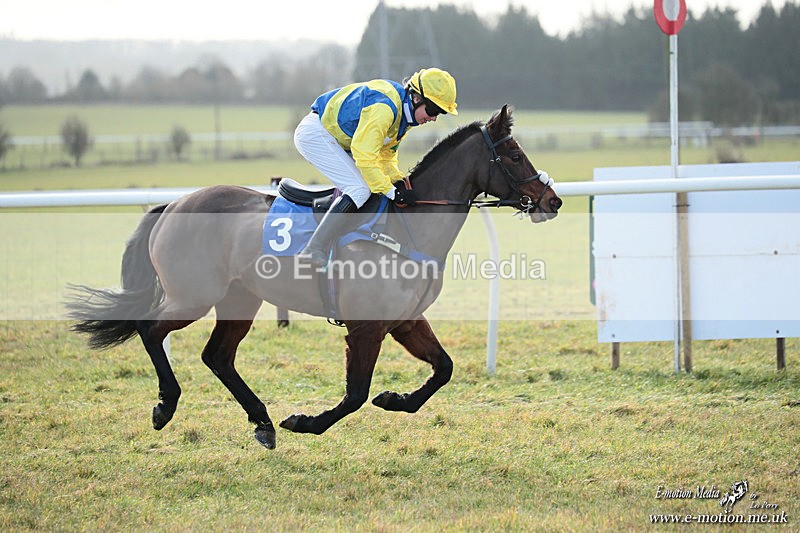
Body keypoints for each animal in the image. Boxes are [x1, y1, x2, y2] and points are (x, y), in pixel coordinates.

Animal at [67, 105, 562, 450]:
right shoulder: (365, 328)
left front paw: (395, 399)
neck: (407, 225)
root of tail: (171, 204)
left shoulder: (405, 321)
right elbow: (355, 394)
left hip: (240, 299)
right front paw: (306, 422)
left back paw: (262, 423)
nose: (552, 200)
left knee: (217, 356)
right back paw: (166, 405)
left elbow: (443, 369)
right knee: (150, 328)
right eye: (514, 154)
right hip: (193, 295)